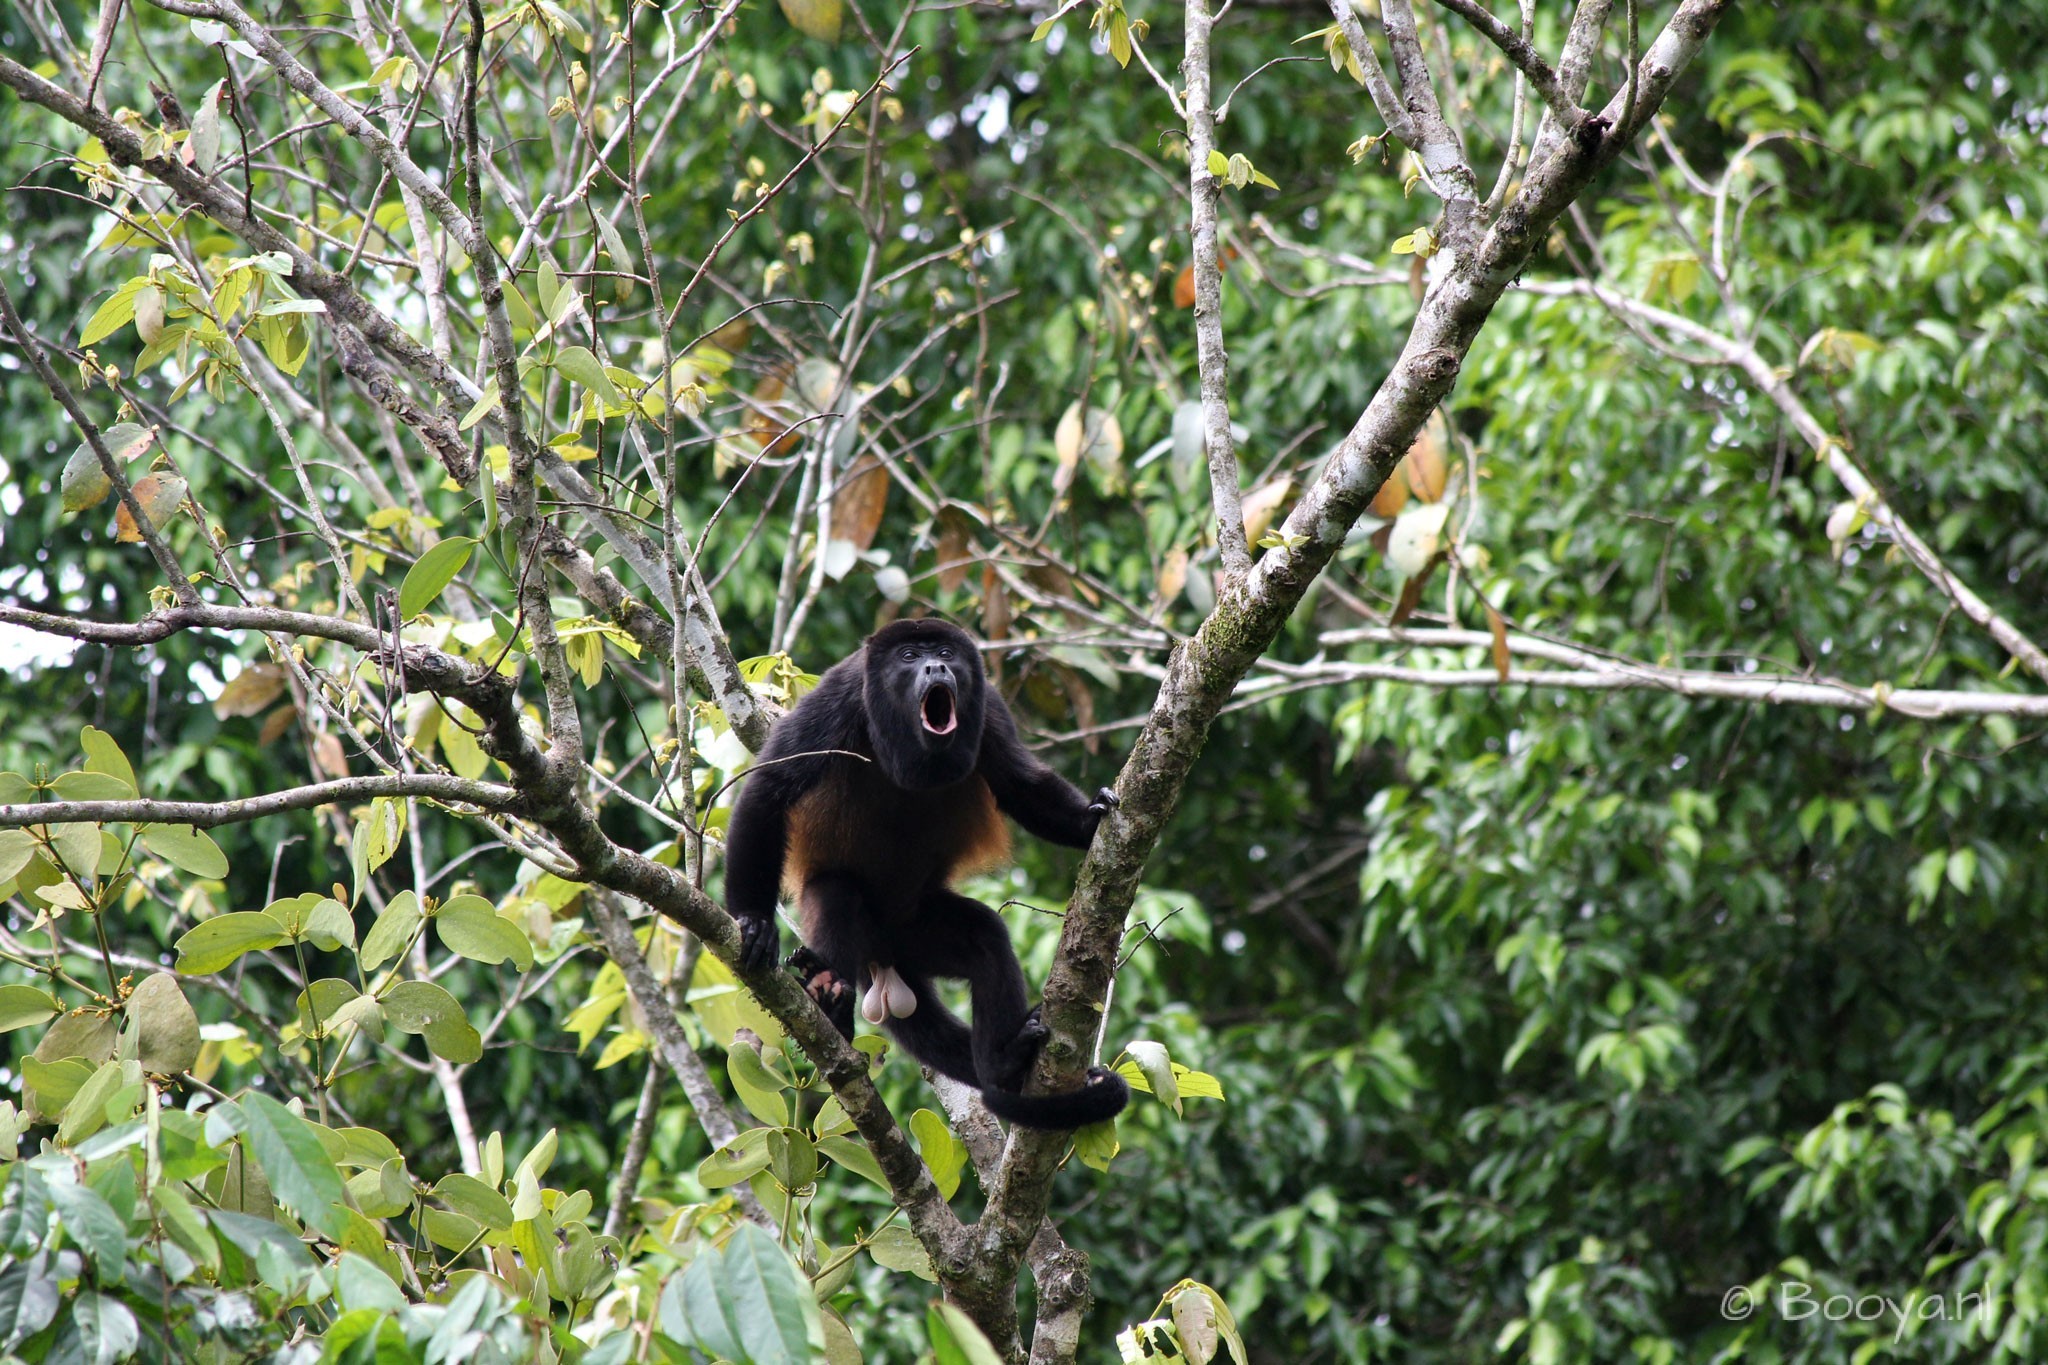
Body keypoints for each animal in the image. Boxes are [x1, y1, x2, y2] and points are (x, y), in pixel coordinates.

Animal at [723, 618, 1130, 1129]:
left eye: (944, 653)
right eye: (910, 656)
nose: (936, 667)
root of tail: (881, 951)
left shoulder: (989, 707)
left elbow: (1021, 783)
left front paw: (1088, 822)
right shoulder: (838, 695)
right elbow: (768, 790)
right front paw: (754, 920)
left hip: (917, 934)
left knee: (986, 936)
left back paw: (1004, 1061)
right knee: (836, 894)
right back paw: (830, 998)